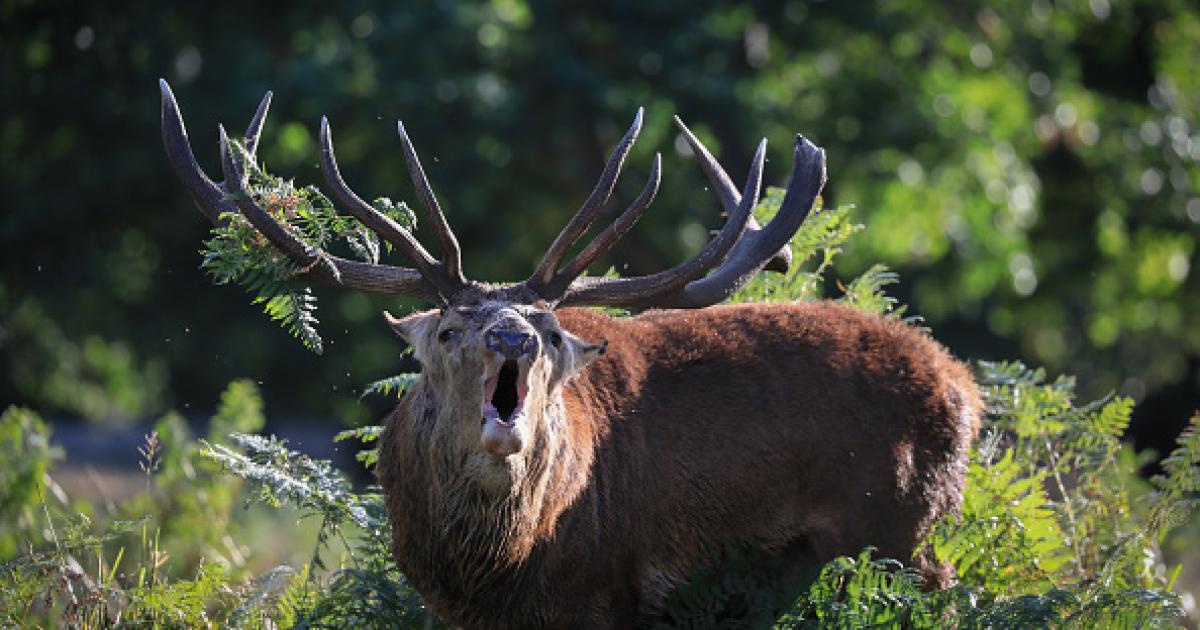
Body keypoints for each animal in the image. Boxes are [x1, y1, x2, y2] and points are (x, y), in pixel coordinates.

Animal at [160, 80, 982, 629]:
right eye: (449, 331)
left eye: (552, 333)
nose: (513, 337)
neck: (498, 573)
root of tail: (964, 387)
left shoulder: (603, 598)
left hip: (901, 533)